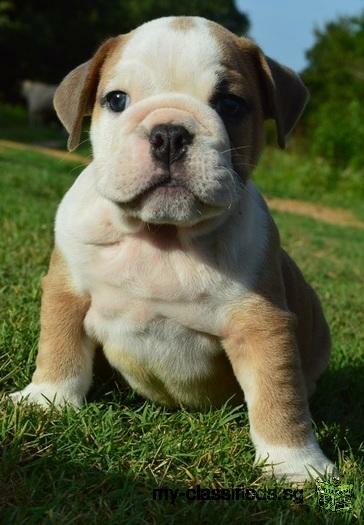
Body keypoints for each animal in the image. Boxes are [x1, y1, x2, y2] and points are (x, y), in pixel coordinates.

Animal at [10, 16, 336, 482]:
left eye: (230, 104)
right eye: (116, 100)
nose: (168, 133)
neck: (161, 236)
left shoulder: (261, 325)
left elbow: (279, 395)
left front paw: (296, 465)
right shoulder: (68, 289)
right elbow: (60, 346)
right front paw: (46, 399)